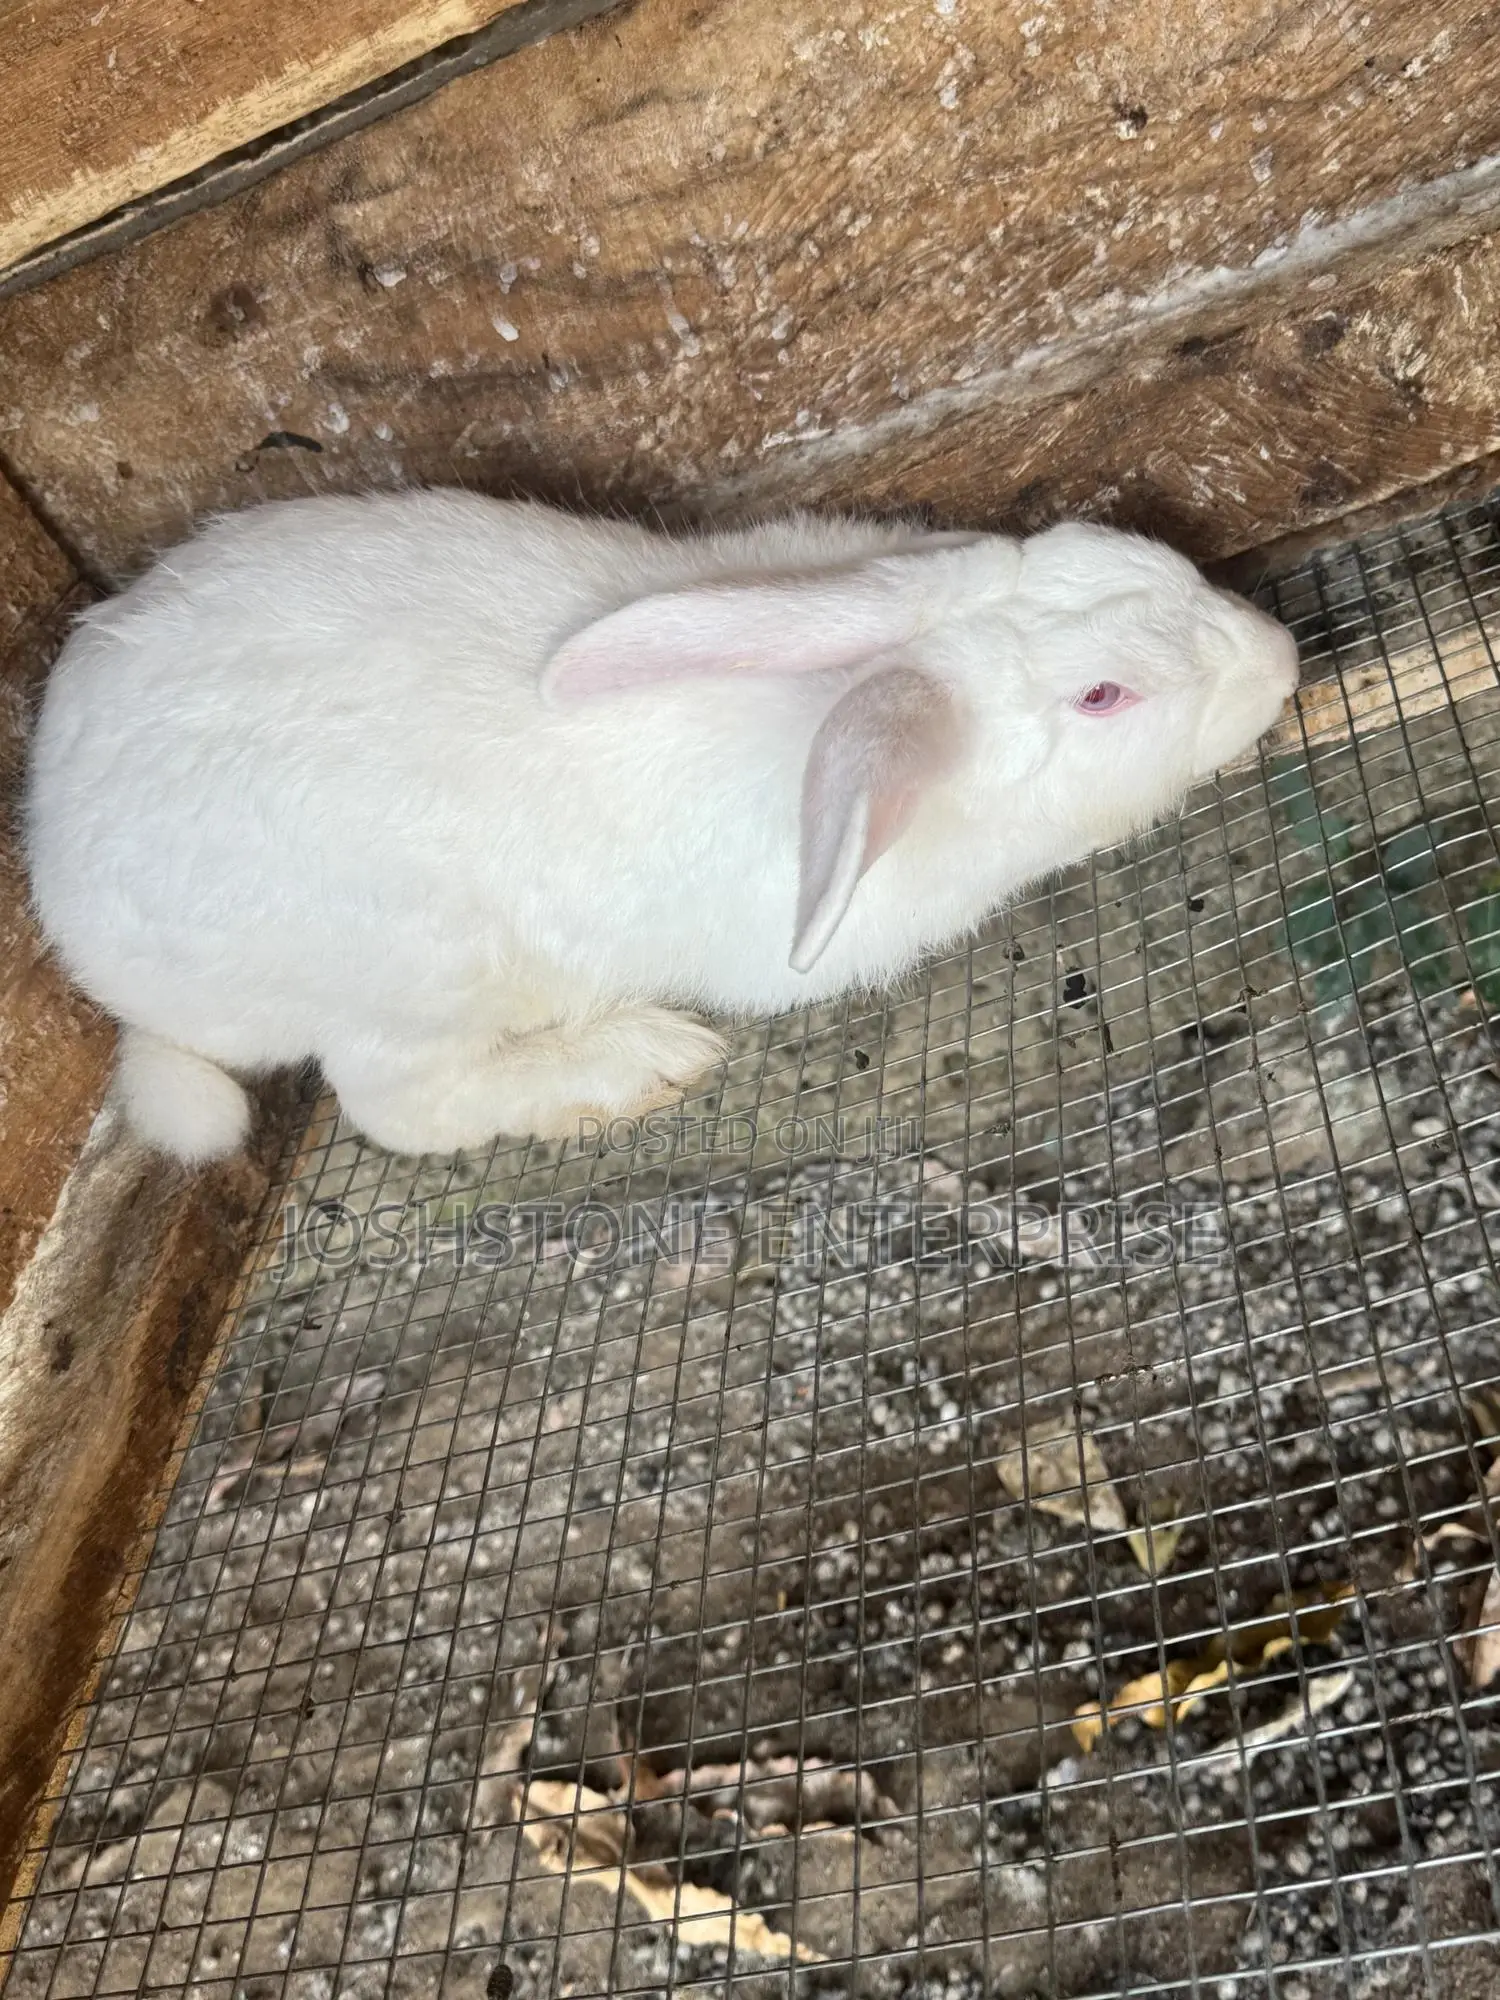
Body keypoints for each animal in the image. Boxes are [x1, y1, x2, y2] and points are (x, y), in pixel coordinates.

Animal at [25, 489, 1298, 1164]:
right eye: (1104, 697)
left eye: (1117, 549)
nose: (1280, 659)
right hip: (410, 982)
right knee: (399, 1104)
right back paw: (636, 1059)